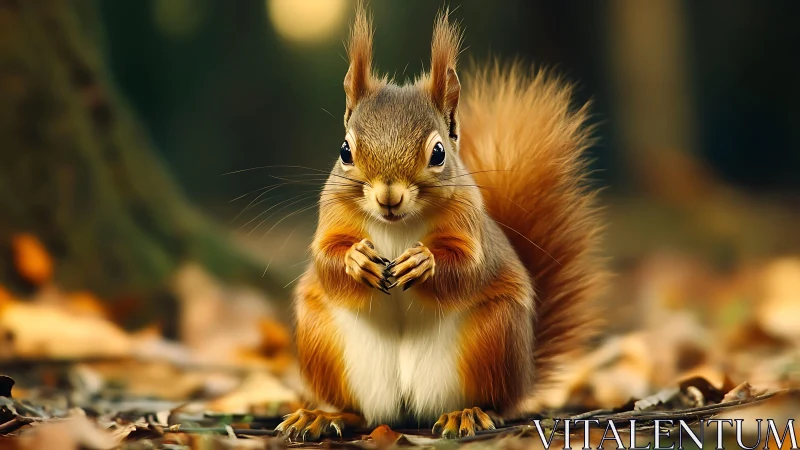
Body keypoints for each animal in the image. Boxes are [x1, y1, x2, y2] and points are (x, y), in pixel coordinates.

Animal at [276, 5, 606, 441]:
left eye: (438, 153)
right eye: (345, 150)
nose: (388, 197)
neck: (397, 227)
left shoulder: (469, 222)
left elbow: (468, 268)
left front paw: (423, 263)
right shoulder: (331, 215)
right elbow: (326, 259)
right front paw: (356, 260)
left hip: (493, 339)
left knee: (495, 402)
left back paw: (467, 414)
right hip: (324, 342)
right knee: (360, 412)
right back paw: (324, 416)